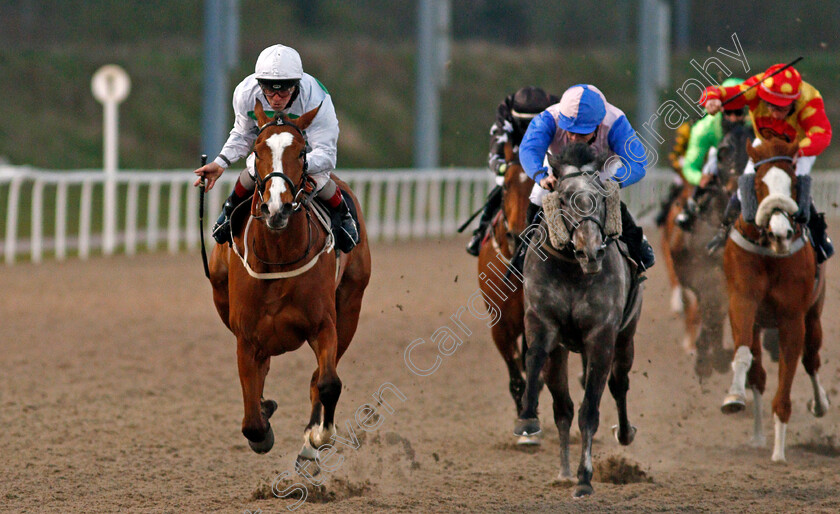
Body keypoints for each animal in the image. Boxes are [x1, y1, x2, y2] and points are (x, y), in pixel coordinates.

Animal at [208, 100, 370, 464]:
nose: (276, 208)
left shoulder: (324, 325)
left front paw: (317, 437)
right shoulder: (246, 337)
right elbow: (252, 419)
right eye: (257, 150)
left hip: (350, 307)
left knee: (319, 378)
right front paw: (263, 423)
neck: (277, 257)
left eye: (301, 151)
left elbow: (327, 383)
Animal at [512, 142, 644, 494]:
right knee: (563, 408)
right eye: (563, 198)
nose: (592, 251)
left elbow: (590, 410)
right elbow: (534, 358)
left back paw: (624, 433)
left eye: (599, 196)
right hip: (561, 352)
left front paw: (585, 479)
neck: (573, 269)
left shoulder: (601, 336)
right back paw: (563, 471)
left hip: (626, 336)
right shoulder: (542, 322)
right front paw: (526, 419)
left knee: (619, 383)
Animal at [720, 136, 832, 460]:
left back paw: (820, 404)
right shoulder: (742, 302)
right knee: (759, 375)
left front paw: (779, 452)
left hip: (814, 315)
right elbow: (744, 356)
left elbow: (789, 372)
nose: (781, 233)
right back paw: (758, 436)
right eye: (758, 184)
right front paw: (734, 396)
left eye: (793, 183)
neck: (769, 253)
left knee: (811, 359)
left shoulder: (792, 318)